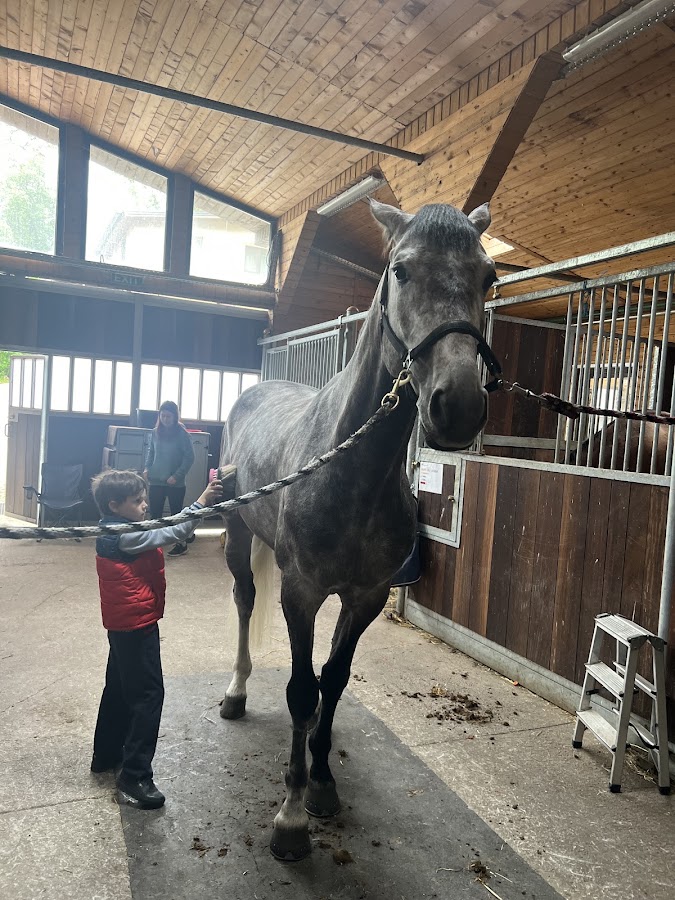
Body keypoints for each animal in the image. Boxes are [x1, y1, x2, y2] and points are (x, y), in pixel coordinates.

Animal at [218, 199, 498, 861]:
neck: (352, 471)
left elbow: (334, 680)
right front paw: (291, 816)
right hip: (239, 535)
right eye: (400, 269)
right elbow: (301, 689)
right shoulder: (301, 594)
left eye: (488, 277)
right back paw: (237, 691)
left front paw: (322, 781)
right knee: (244, 600)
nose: (458, 405)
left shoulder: (365, 597)